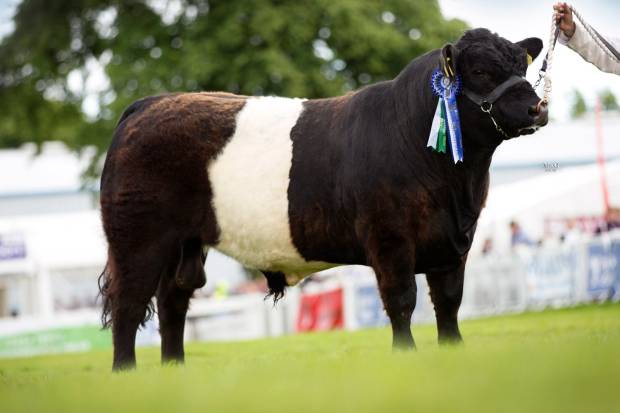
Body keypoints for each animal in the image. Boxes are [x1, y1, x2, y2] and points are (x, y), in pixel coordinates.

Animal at [98, 29, 548, 370]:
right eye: (481, 70)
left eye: (522, 66)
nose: (537, 107)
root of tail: (150, 103)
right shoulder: (389, 238)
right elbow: (402, 299)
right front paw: (405, 356)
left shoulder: (454, 243)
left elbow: (449, 303)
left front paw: (453, 352)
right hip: (137, 240)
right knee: (129, 303)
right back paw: (127, 373)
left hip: (185, 244)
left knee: (173, 300)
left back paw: (174, 370)